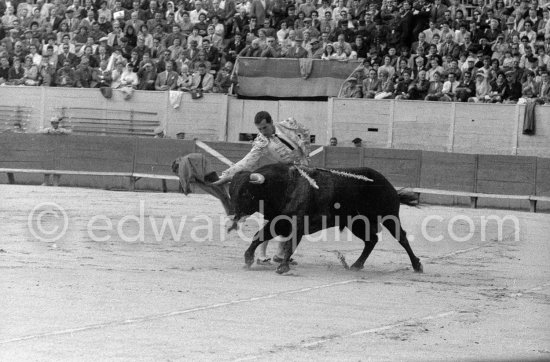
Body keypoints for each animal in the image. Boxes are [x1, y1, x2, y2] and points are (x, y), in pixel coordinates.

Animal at [226, 164, 424, 274]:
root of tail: (386, 182)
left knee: (402, 238)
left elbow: (289, 244)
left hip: (390, 216)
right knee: (371, 240)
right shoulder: (278, 223)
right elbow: (259, 236)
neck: (284, 186)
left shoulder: (298, 225)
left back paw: (417, 265)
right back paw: (356, 265)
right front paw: (248, 259)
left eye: (246, 192)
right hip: (357, 223)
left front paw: (282, 267)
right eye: (232, 191)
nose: (233, 214)